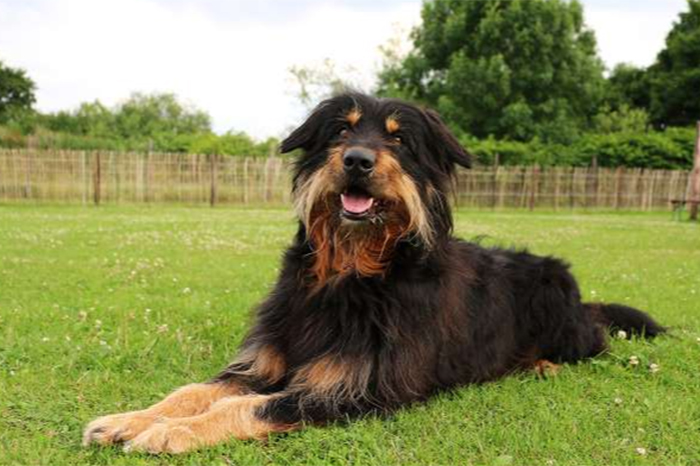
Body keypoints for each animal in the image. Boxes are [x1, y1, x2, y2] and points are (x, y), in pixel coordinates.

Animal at [83, 93, 665, 454]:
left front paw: (170, 433)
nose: (358, 160)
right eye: (340, 130)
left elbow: (250, 408)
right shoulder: (265, 362)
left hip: (561, 313)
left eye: (400, 140)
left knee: (594, 340)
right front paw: (131, 419)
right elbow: (194, 391)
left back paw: (543, 363)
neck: (349, 269)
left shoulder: (356, 388)